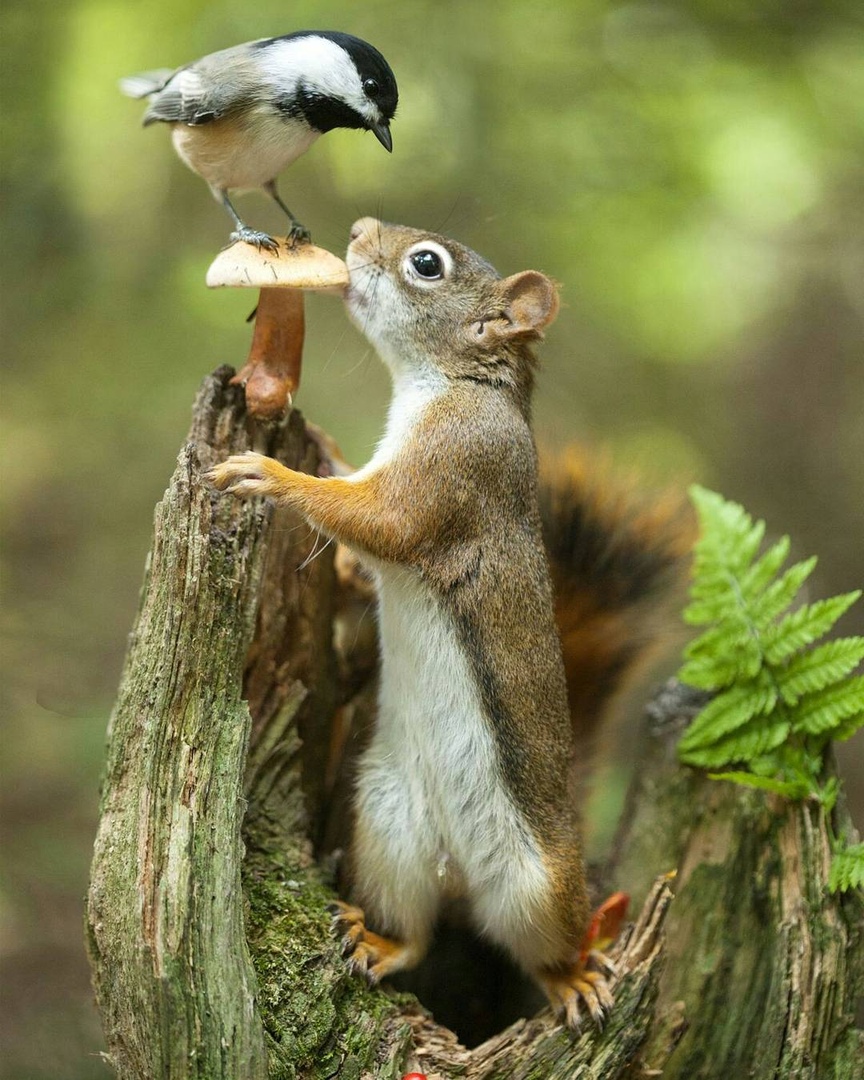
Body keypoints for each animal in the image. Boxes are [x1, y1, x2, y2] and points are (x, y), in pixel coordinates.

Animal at [212, 217, 691, 1028]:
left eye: (426, 265)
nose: (358, 232)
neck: (450, 384)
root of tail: (461, 875)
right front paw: (326, 454)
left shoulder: (453, 470)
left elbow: (377, 520)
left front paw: (271, 475)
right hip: (387, 829)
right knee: (418, 932)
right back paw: (378, 941)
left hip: (539, 884)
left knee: (544, 947)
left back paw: (574, 979)